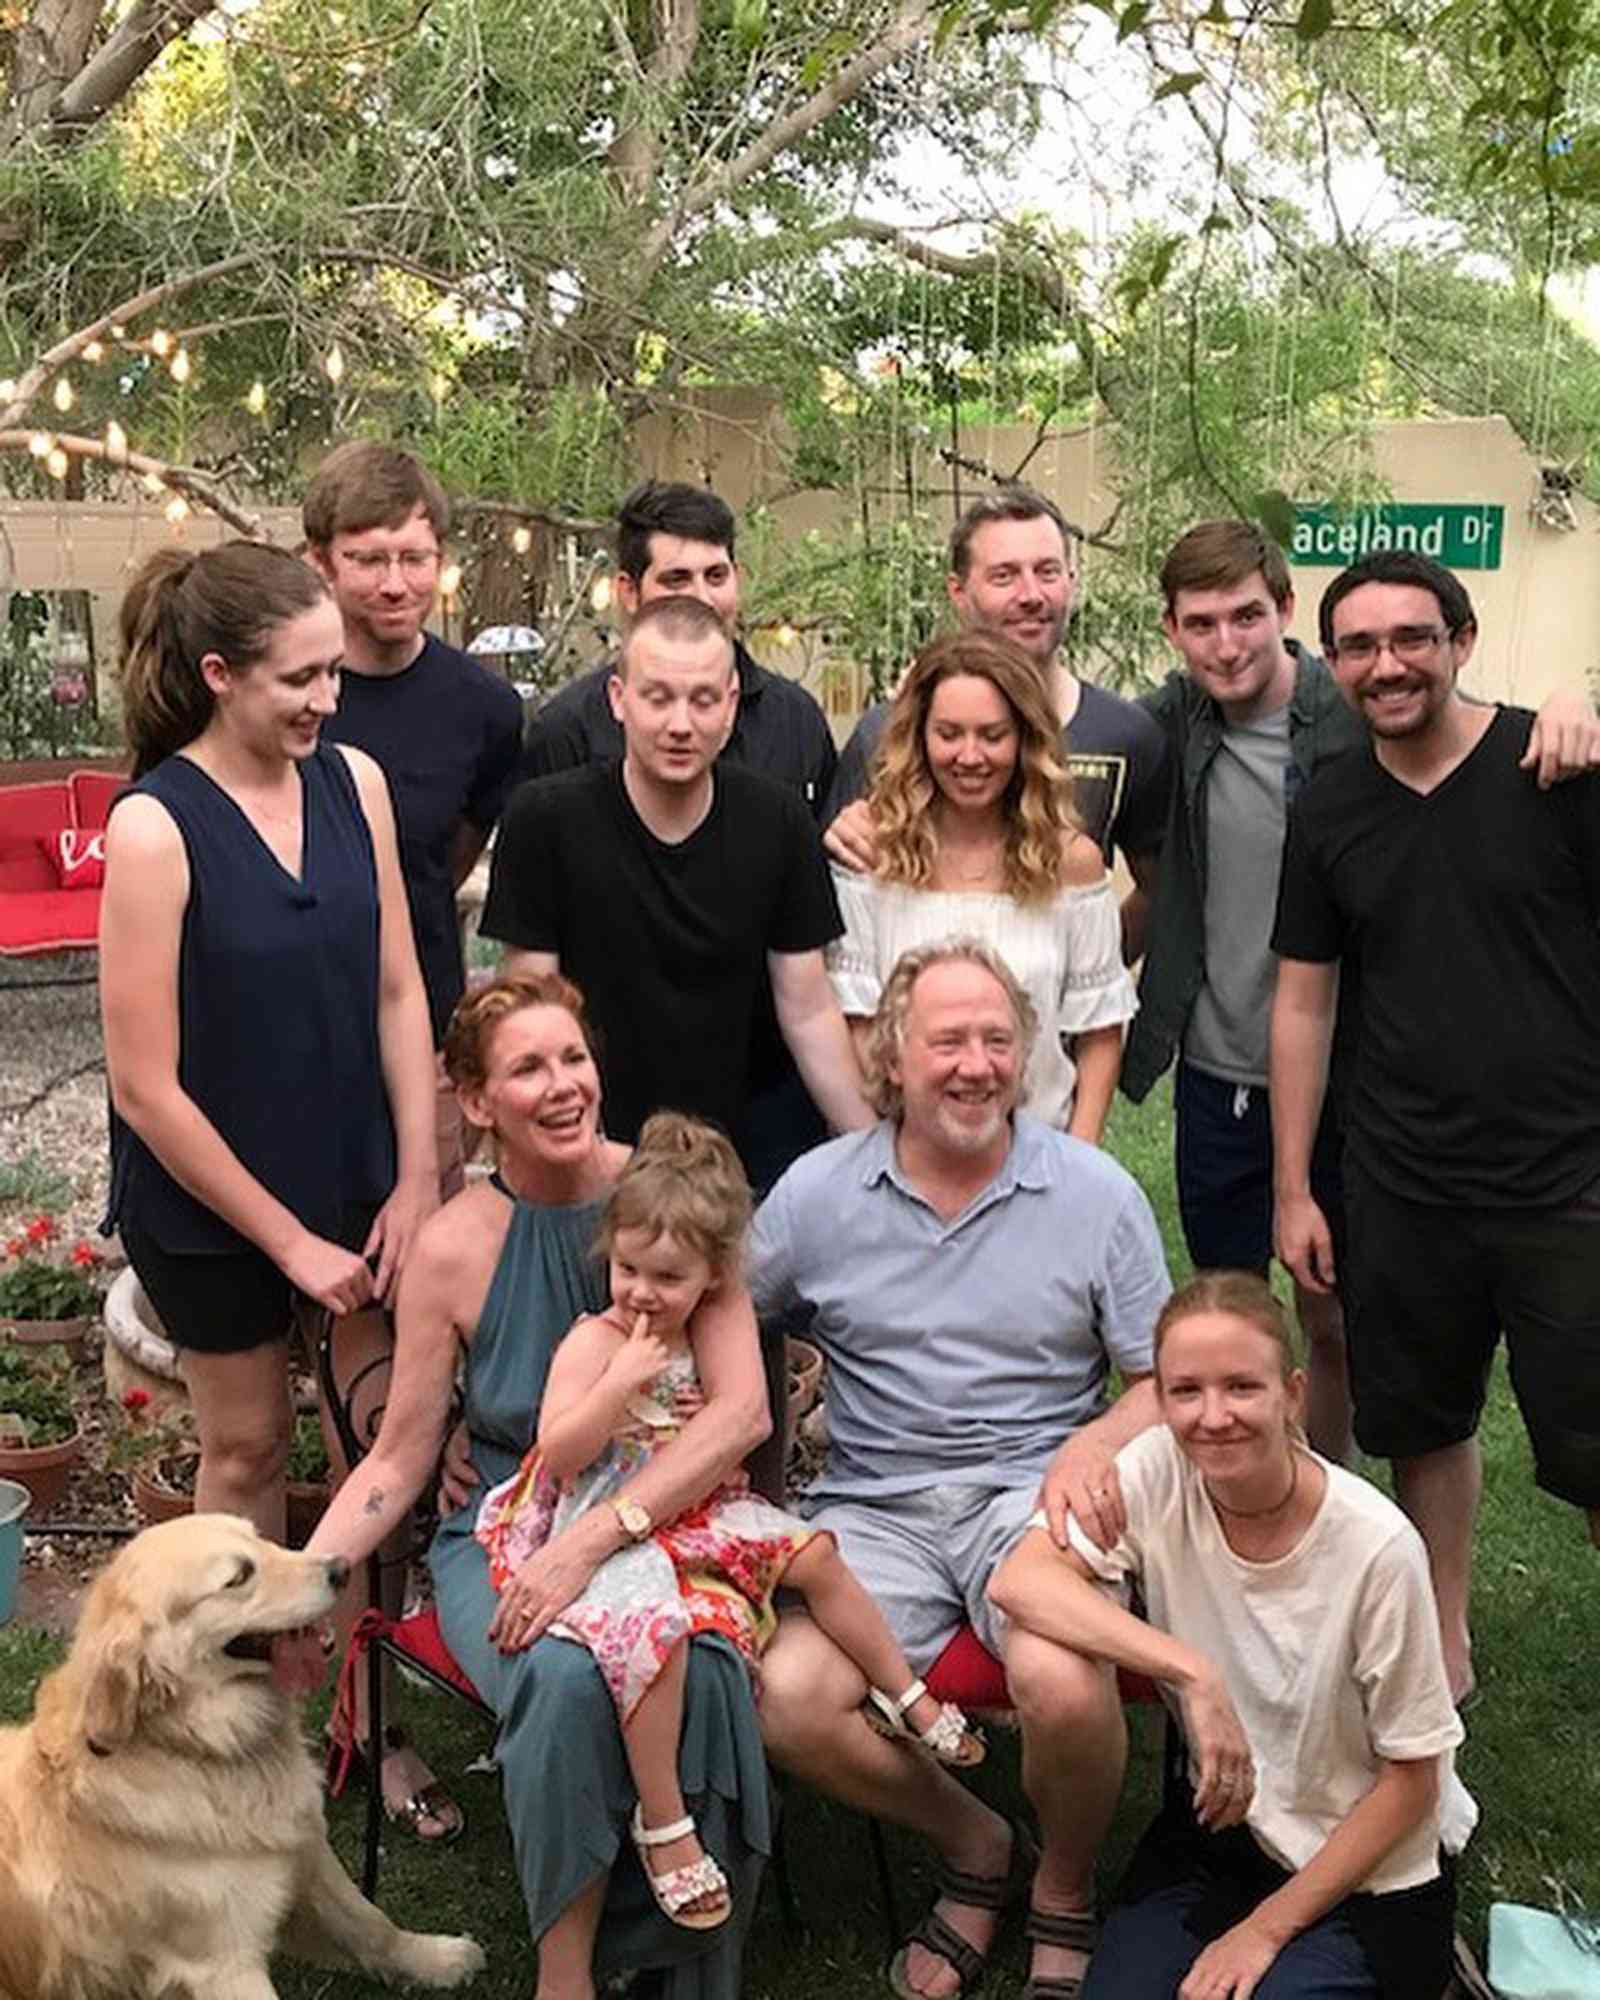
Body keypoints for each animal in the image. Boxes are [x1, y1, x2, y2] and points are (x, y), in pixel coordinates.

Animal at [0, 1512, 484, 2000]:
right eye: (238, 1578)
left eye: (261, 1540)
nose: (341, 1568)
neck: (199, 1749)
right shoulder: (222, 1962)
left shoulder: (307, 1856)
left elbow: (370, 1923)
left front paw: (435, 1958)